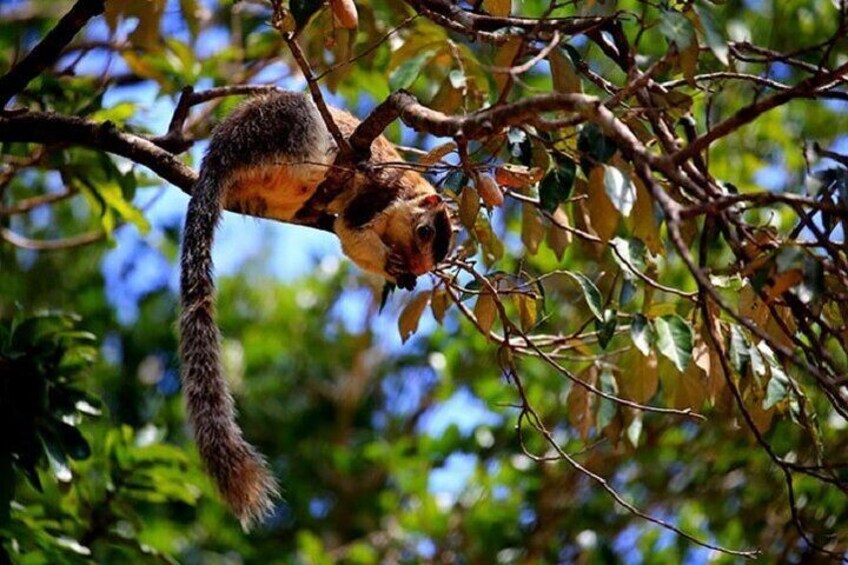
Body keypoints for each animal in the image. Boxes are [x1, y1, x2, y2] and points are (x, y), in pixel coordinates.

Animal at [179, 90, 454, 528]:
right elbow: (351, 232)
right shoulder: (374, 198)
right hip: (286, 128)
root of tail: (218, 158)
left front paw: (401, 276)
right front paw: (388, 264)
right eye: (423, 231)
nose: (414, 266)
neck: (405, 196)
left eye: (428, 264)